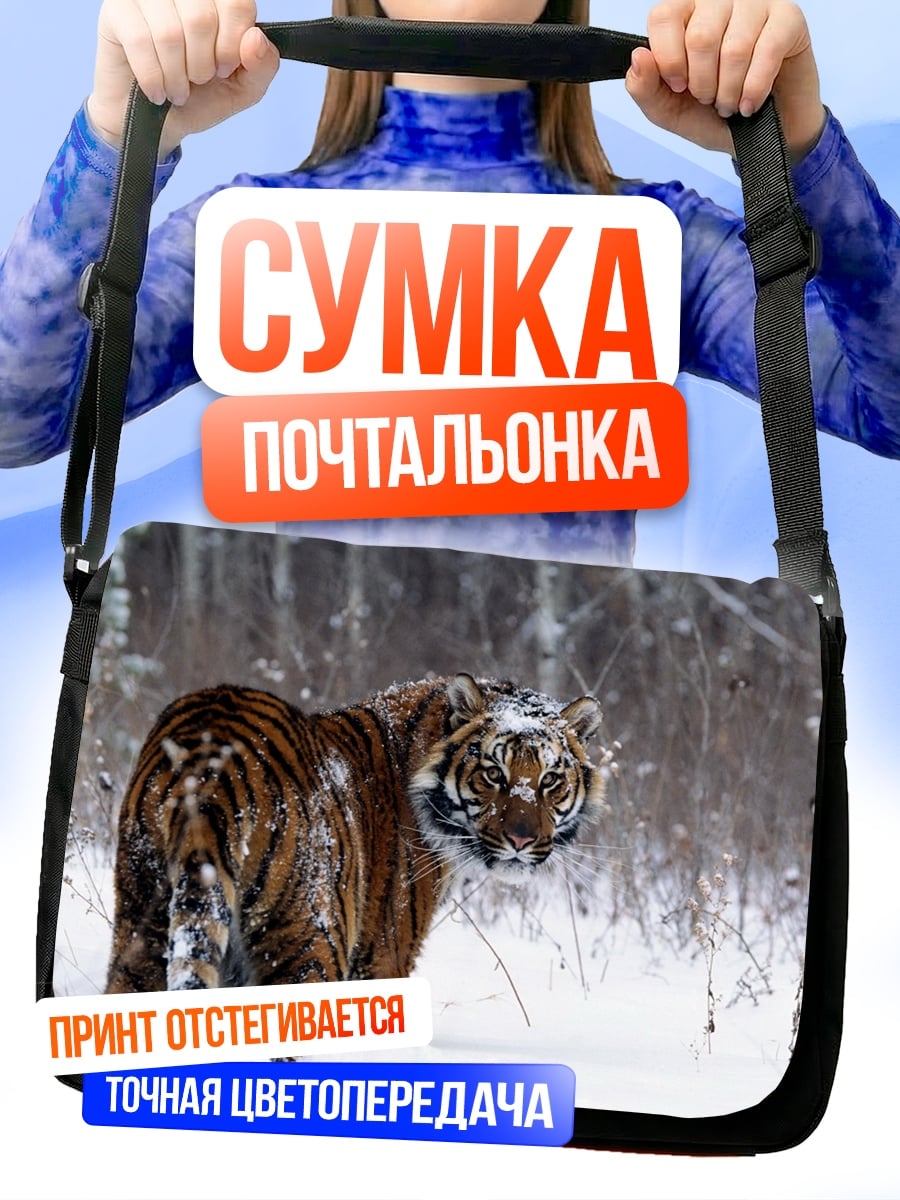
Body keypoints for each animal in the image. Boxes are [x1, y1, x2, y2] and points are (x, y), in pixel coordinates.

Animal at [105, 673, 604, 994]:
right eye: (494, 774)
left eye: (550, 780)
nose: (521, 840)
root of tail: (212, 765)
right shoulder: (384, 957)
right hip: (310, 943)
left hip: (142, 922)